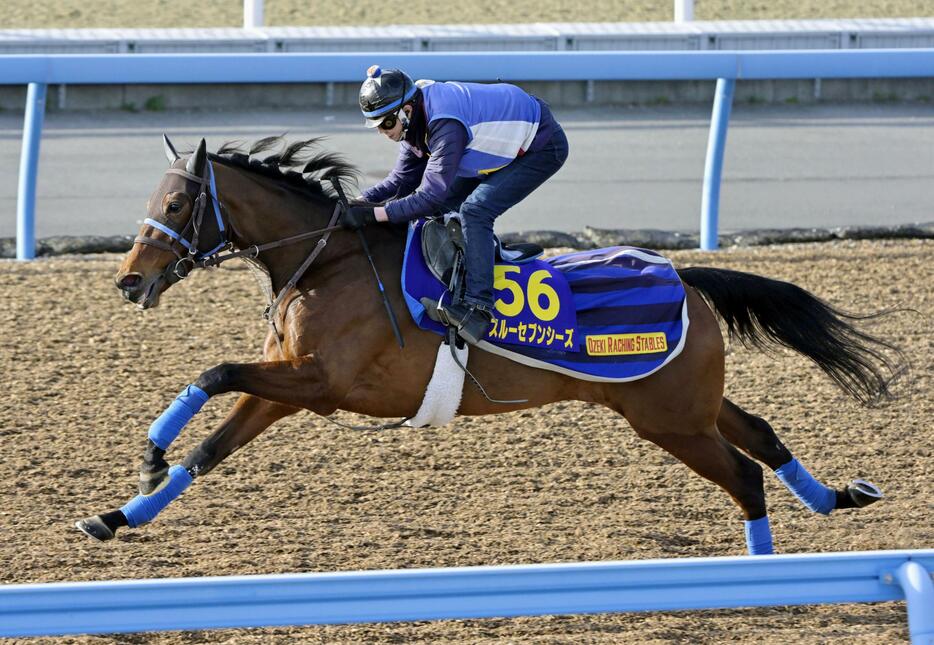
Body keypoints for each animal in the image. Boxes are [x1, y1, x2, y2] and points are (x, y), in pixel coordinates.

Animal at [77, 135, 904, 552]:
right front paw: (121, 511)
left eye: (176, 204)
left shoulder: (319, 382)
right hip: (683, 400)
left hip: (667, 415)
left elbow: (214, 369)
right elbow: (209, 447)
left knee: (744, 473)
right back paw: (836, 495)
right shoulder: (288, 381)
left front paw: (148, 453)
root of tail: (684, 274)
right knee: (760, 435)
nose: (127, 279)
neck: (329, 257)